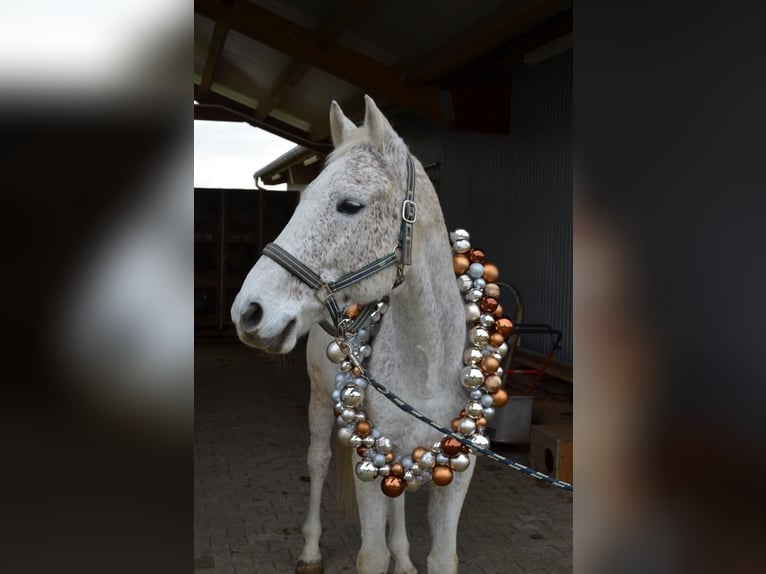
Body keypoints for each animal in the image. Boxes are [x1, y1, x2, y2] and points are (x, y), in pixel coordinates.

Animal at [231, 96, 479, 574]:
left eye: (349, 204)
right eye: (302, 197)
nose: (248, 312)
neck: (427, 366)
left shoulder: (457, 470)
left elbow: (442, 557)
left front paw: (406, 557)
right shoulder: (369, 463)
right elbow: (371, 555)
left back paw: (404, 559)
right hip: (319, 404)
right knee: (319, 462)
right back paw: (310, 551)